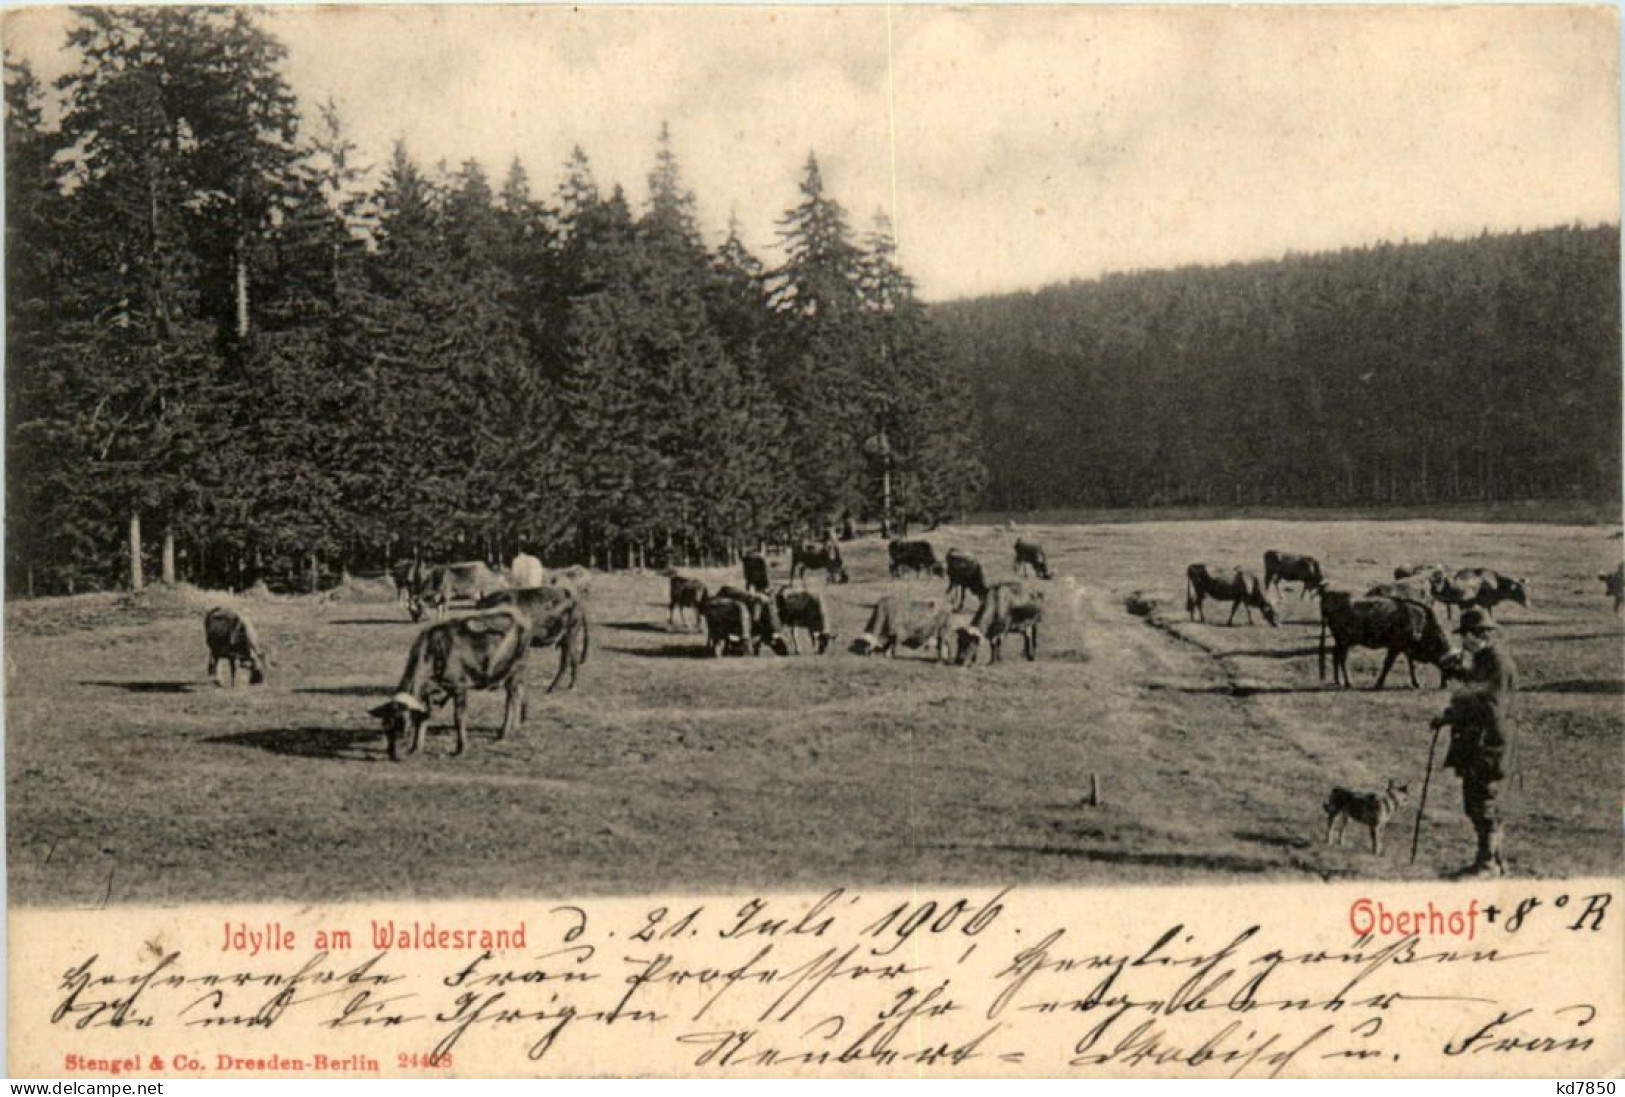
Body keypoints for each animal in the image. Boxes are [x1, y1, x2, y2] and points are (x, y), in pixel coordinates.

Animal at [368, 604, 533, 760]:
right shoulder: (429, 693)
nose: (393, 755)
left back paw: (504, 733)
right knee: (519, 694)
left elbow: (459, 718)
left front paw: (461, 749)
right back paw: (516, 727)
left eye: (403, 725)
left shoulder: (459, 686)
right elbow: (423, 718)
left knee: (511, 699)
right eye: (385, 727)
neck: (435, 651)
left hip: (516, 670)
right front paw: (416, 748)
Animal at [1313, 598, 1456, 692]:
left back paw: (1338, 680)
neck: (1420, 622)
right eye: (1450, 666)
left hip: (1341, 642)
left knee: (1335, 656)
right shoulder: (1395, 646)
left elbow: (1412, 665)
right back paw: (1348, 682)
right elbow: (1388, 664)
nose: (1446, 685)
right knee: (1342, 659)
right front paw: (1379, 683)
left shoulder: (1406, 648)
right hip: (1345, 641)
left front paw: (1416, 683)